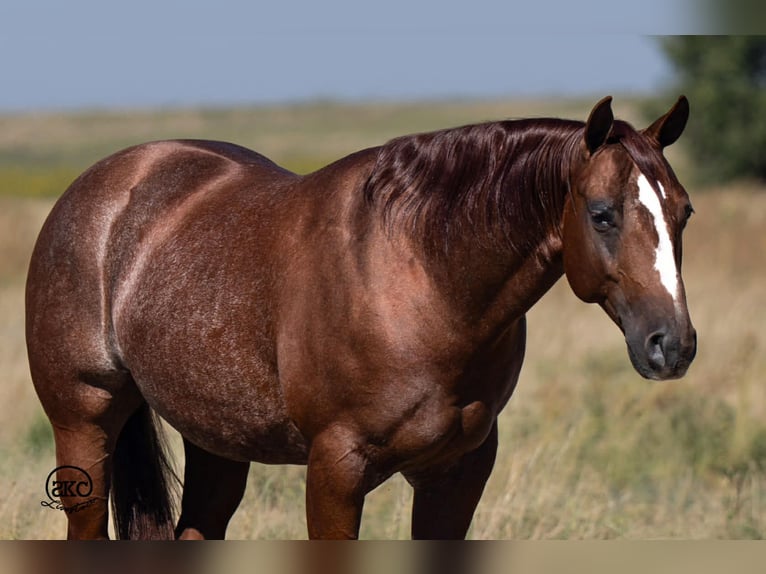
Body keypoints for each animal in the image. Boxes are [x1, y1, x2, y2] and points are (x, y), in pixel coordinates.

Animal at [26, 96, 696, 539]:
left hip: (216, 439)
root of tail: (103, 185)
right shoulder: (336, 471)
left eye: (683, 212)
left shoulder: (458, 473)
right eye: (603, 213)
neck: (423, 282)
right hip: (84, 424)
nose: (672, 346)